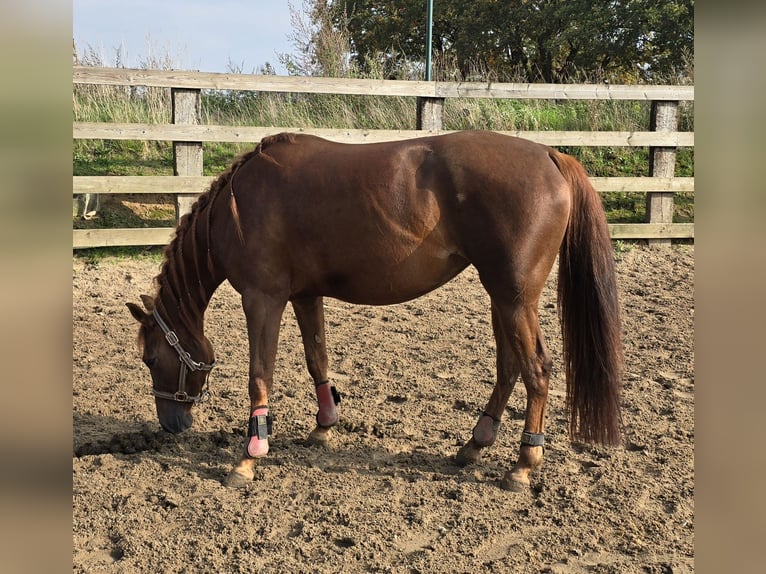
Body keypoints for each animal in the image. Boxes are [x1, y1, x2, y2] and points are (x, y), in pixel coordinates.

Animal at [126, 131, 622, 491]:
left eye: (150, 359)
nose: (171, 424)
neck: (238, 207)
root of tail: (550, 156)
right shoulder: (305, 295)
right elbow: (317, 359)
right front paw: (324, 427)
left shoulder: (262, 298)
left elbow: (259, 375)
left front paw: (250, 456)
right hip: (501, 296)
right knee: (509, 367)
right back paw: (473, 446)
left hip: (514, 298)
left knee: (536, 369)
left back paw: (523, 464)